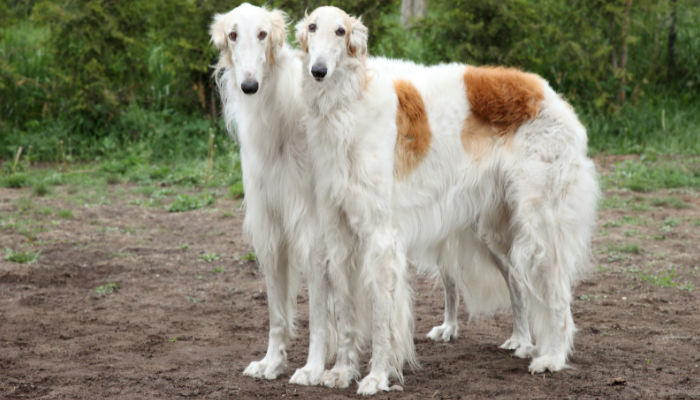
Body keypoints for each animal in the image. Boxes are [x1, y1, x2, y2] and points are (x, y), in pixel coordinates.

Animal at [209, 3, 334, 384]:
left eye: (263, 34)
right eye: (233, 34)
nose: (249, 85)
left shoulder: (314, 231)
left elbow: (319, 314)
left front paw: (313, 368)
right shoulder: (271, 227)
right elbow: (277, 312)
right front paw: (271, 362)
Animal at [298, 5, 600, 394]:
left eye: (340, 31)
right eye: (311, 27)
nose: (318, 70)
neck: (347, 107)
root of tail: (551, 94)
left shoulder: (381, 237)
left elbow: (381, 318)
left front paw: (377, 377)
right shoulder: (339, 234)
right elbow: (347, 313)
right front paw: (341, 372)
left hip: (539, 226)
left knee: (559, 294)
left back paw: (553, 357)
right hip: (495, 229)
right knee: (517, 281)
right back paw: (521, 340)